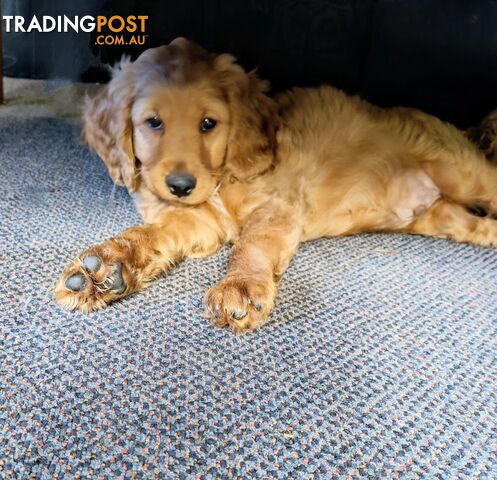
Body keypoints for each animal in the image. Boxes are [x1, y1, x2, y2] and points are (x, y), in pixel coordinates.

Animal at [54, 37, 496, 332]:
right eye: (153, 122)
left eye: (208, 123)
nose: (180, 185)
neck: (222, 180)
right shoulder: (195, 221)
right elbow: (149, 233)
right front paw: (107, 267)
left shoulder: (277, 207)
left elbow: (251, 245)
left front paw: (241, 286)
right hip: (442, 218)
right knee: (477, 225)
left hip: (464, 175)